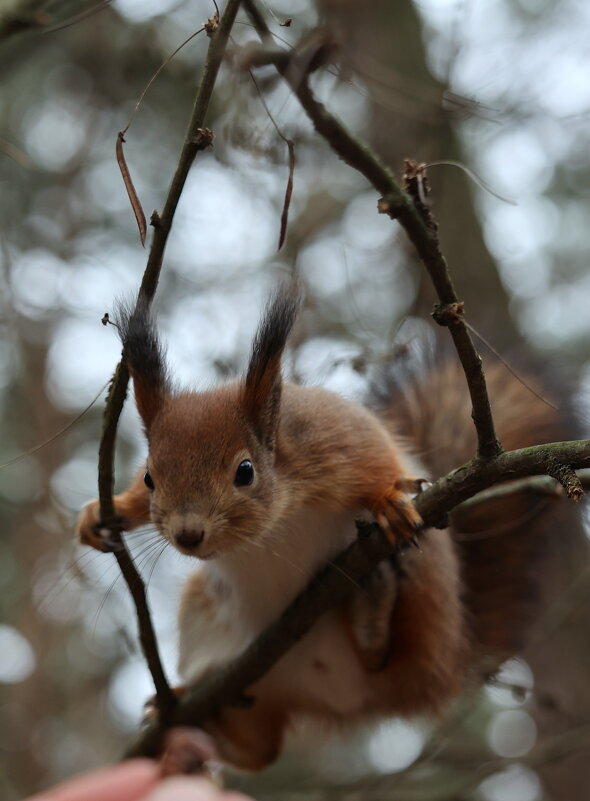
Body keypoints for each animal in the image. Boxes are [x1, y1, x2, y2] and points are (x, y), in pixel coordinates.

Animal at [76, 286, 572, 768]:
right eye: (148, 478)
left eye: (245, 471)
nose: (188, 534)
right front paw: (103, 514)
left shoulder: (329, 438)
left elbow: (375, 458)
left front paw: (388, 499)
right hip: (215, 630)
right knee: (260, 750)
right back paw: (183, 717)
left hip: (424, 586)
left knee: (383, 660)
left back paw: (373, 613)